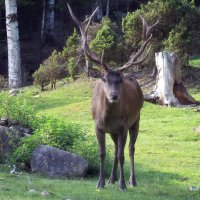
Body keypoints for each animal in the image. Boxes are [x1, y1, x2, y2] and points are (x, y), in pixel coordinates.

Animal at [68, 4, 159, 191]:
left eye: (120, 80)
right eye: (104, 79)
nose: (114, 95)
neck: (107, 117)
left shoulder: (123, 126)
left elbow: (122, 155)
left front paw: (122, 185)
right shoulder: (98, 126)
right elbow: (103, 153)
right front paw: (100, 182)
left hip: (136, 120)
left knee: (130, 149)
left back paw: (131, 180)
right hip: (113, 132)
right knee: (117, 149)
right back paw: (112, 178)